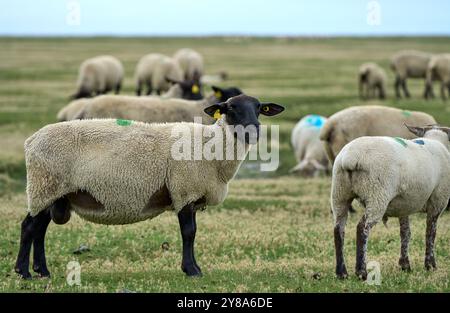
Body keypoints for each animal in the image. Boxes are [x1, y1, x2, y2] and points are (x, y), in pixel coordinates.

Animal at [15, 94, 284, 276]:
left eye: (259, 109)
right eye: (230, 109)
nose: (254, 130)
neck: (211, 146)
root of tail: (31, 140)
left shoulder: (190, 194)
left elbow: (193, 233)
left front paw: (194, 267)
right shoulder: (184, 190)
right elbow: (189, 232)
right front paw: (191, 270)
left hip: (53, 192)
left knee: (40, 228)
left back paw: (42, 271)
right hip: (44, 185)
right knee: (29, 227)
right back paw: (24, 272)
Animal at [330, 123, 450, 278]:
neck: (437, 141)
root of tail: (351, 157)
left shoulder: (404, 206)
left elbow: (405, 233)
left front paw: (405, 265)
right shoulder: (438, 201)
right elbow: (430, 233)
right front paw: (430, 265)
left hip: (339, 193)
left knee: (338, 229)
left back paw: (342, 272)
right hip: (377, 195)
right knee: (362, 228)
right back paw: (361, 271)